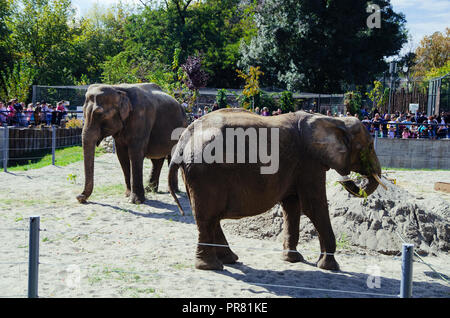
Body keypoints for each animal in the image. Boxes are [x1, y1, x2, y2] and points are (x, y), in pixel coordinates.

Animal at [167, 108, 384, 270]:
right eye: (370, 146)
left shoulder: (298, 166)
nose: (356, 180)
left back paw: (229, 259)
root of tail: (183, 139)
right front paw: (329, 267)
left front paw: (293, 260)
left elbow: (292, 207)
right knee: (208, 216)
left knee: (210, 217)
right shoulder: (309, 163)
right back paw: (212, 266)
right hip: (205, 172)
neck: (335, 120)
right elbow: (314, 207)